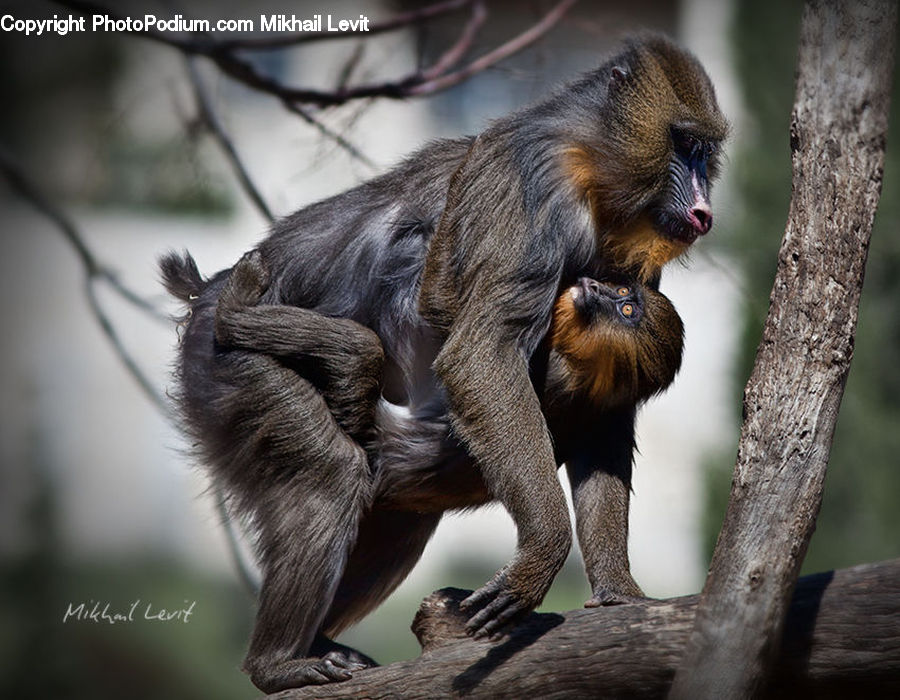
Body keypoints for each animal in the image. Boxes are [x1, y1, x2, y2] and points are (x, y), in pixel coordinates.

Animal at [160, 34, 726, 692]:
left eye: (707, 154)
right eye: (684, 146)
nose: (703, 211)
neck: (592, 169)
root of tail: (207, 302)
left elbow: (604, 422)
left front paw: (618, 592)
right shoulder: (529, 181)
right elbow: (481, 350)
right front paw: (544, 552)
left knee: (341, 479)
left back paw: (282, 661)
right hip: (227, 370)